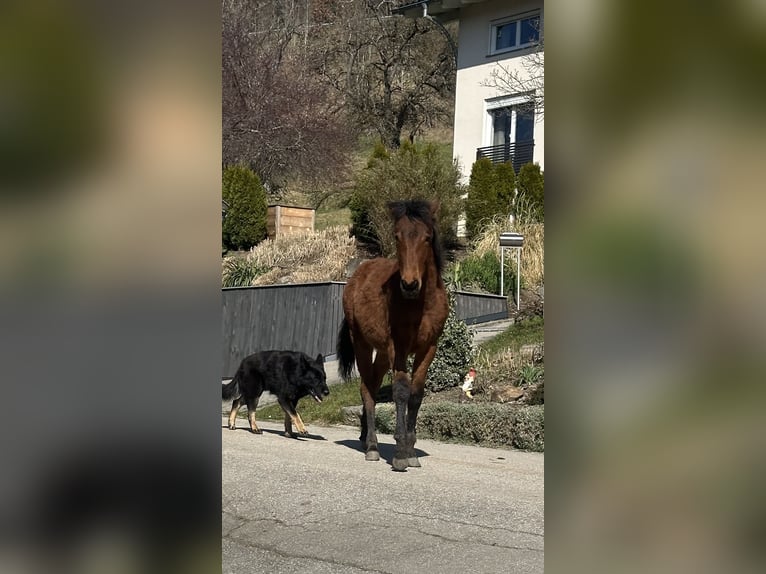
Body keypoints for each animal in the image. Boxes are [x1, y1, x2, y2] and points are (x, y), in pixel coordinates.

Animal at [337, 199, 449, 471]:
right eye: (397, 236)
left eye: (427, 237)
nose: (409, 284)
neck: (421, 303)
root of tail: (357, 275)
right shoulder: (399, 347)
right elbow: (400, 391)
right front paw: (399, 454)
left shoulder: (429, 347)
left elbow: (416, 394)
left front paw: (411, 451)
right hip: (362, 344)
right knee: (367, 389)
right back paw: (372, 446)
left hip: (382, 353)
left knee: (374, 385)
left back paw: (365, 437)